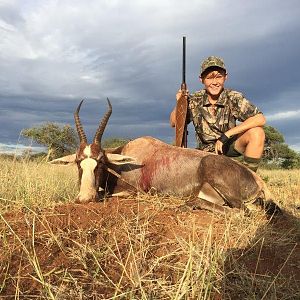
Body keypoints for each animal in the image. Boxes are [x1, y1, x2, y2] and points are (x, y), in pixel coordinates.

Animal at [50, 99, 280, 214]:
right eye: (78, 162)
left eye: (101, 162)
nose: (84, 199)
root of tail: (257, 179)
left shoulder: (134, 192)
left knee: (242, 211)